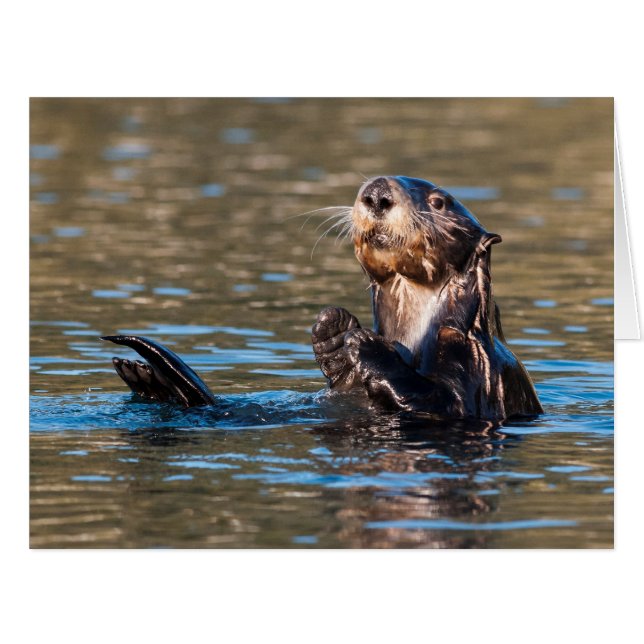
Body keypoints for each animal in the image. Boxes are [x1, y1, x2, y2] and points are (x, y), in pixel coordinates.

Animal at [102, 175, 542, 421]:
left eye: (438, 202)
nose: (377, 194)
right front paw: (333, 330)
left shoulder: (475, 366)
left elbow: (442, 402)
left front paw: (365, 345)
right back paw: (145, 379)